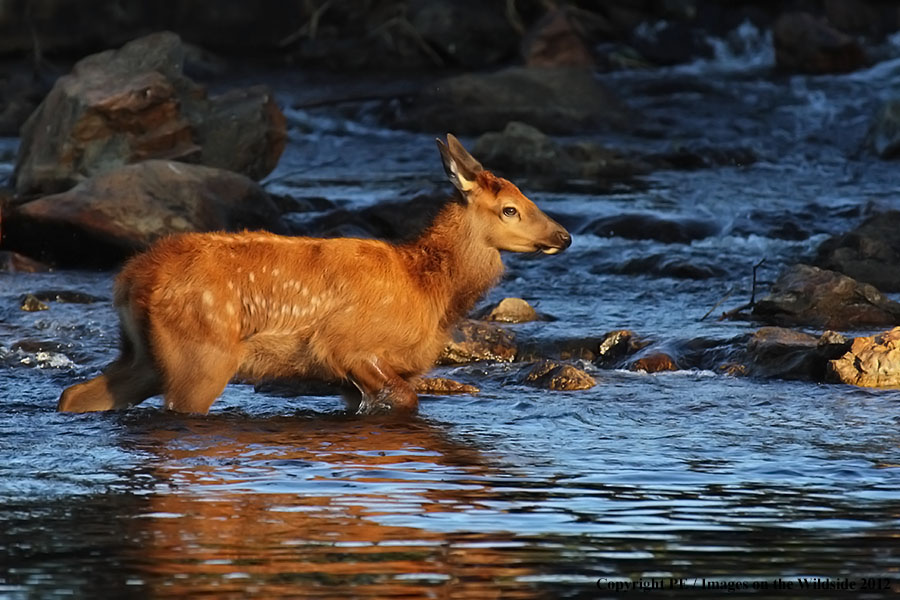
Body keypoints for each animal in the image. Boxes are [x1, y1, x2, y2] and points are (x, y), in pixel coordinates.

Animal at [59, 135, 572, 418]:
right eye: (510, 208)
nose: (564, 236)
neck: (429, 290)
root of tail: (129, 280)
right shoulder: (348, 344)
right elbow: (405, 398)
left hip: (145, 354)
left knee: (75, 393)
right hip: (201, 355)